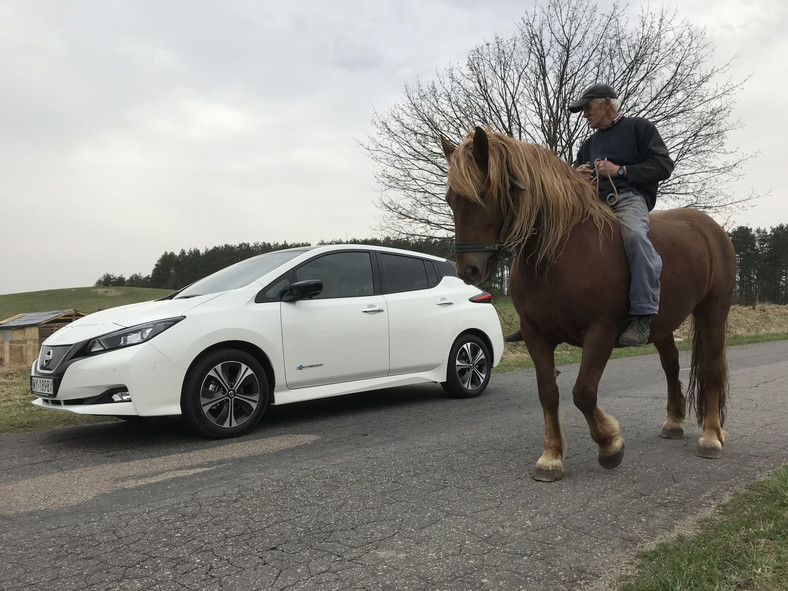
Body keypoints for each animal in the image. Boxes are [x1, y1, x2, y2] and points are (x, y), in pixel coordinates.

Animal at [440, 128, 736, 480]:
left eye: (484, 193)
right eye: (450, 199)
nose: (467, 270)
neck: (559, 252)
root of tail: (711, 229)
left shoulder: (600, 333)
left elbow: (582, 392)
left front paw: (610, 445)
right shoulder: (536, 336)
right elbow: (548, 393)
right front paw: (551, 457)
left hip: (713, 310)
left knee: (711, 368)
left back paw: (711, 437)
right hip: (663, 325)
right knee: (671, 365)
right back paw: (674, 422)